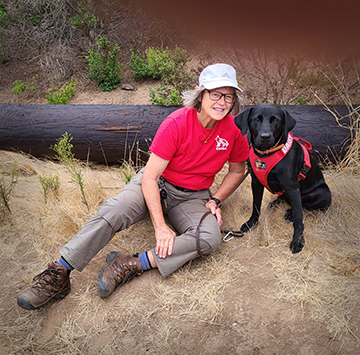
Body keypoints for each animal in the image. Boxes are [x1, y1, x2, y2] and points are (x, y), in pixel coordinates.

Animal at [233, 103, 332, 253]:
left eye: (275, 120)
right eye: (256, 119)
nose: (265, 137)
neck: (265, 154)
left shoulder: (292, 187)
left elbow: (298, 219)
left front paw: (298, 241)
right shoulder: (255, 183)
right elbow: (256, 206)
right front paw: (251, 223)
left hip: (324, 194)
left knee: (303, 204)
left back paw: (290, 213)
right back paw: (275, 203)